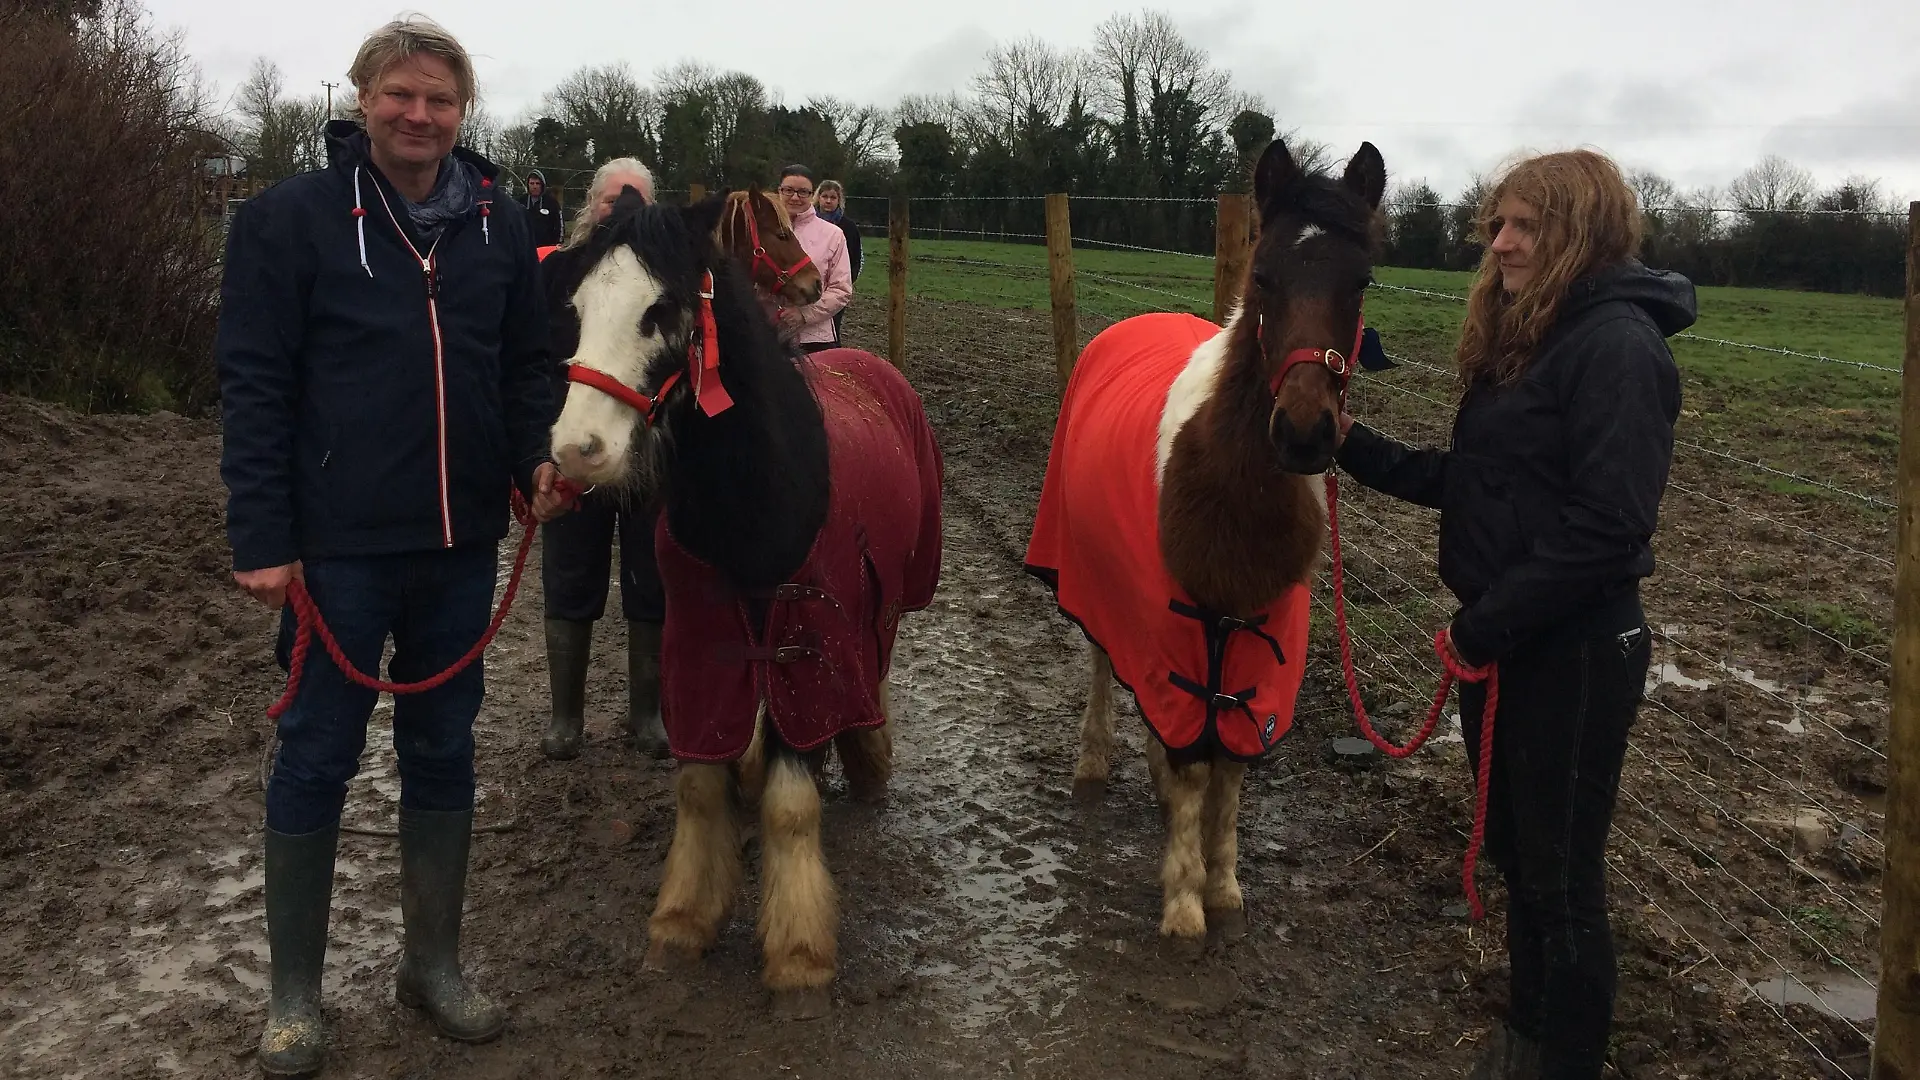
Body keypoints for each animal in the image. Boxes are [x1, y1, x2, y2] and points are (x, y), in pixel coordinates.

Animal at [546, 191, 943, 1017]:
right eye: (576, 307)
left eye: (661, 309)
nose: (577, 449)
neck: (760, 496)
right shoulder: (701, 644)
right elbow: (701, 784)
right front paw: (683, 919)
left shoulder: (810, 639)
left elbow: (793, 802)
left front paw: (798, 952)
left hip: (880, 608)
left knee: (875, 675)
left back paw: (868, 758)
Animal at [1025, 136, 1386, 948]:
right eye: (1264, 275)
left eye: (1361, 281)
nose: (1305, 432)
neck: (1227, 494)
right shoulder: (1164, 617)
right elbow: (1196, 764)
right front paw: (1184, 901)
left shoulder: (1260, 641)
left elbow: (1230, 765)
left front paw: (1223, 885)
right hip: (1104, 584)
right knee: (1104, 662)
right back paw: (1095, 761)